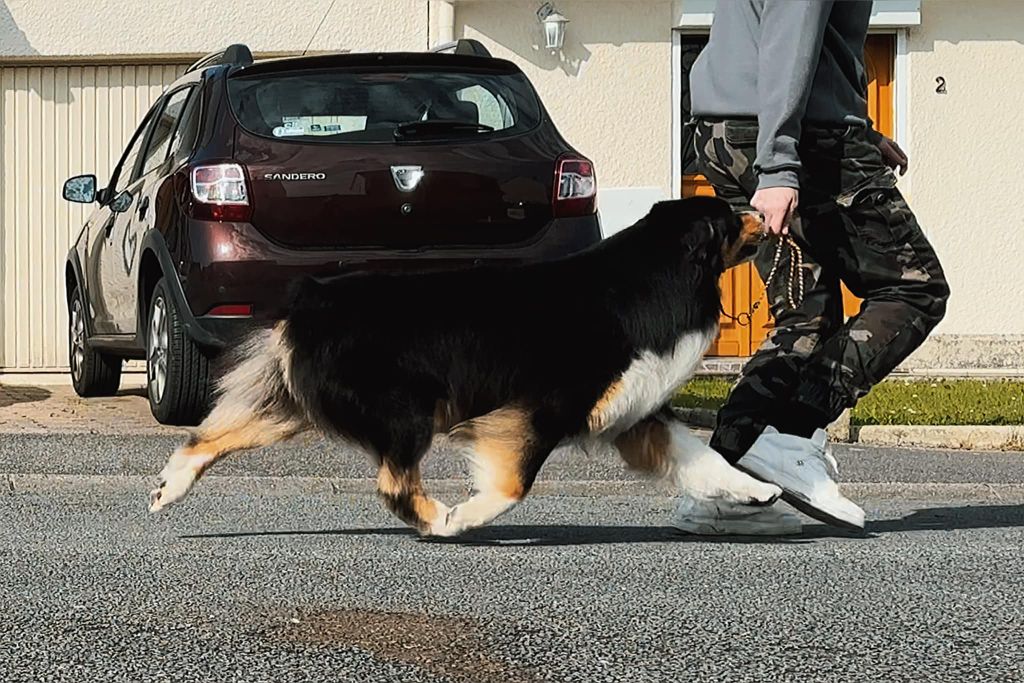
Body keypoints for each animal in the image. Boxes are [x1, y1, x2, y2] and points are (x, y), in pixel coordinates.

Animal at [148, 194, 774, 536]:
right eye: (730, 218)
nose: (765, 217)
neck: (653, 276)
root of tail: (310, 297)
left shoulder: (638, 411)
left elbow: (704, 457)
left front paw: (759, 491)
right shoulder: (543, 405)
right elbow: (513, 482)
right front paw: (469, 516)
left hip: (293, 403)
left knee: (208, 437)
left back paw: (168, 488)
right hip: (404, 409)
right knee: (393, 482)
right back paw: (437, 518)